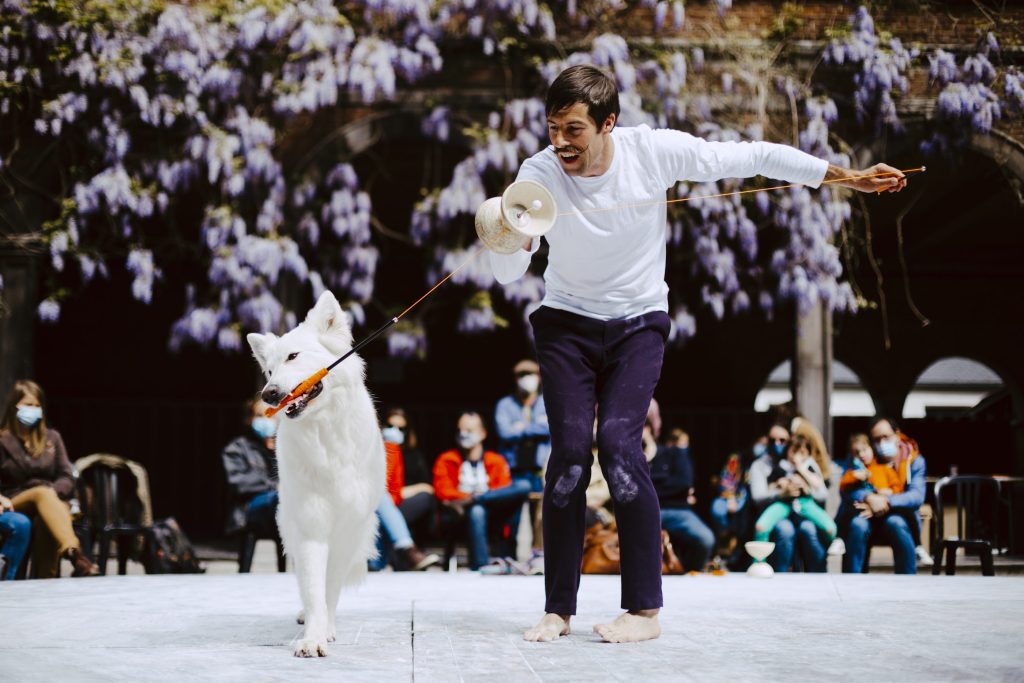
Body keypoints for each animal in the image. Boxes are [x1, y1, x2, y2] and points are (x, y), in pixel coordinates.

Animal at [247, 291, 384, 657]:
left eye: (293, 356)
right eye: (269, 370)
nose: (269, 393)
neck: (324, 433)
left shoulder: (346, 530)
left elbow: (329, 587)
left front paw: (327, 630)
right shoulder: (310, 525)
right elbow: (312, 587)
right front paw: (313, 637)